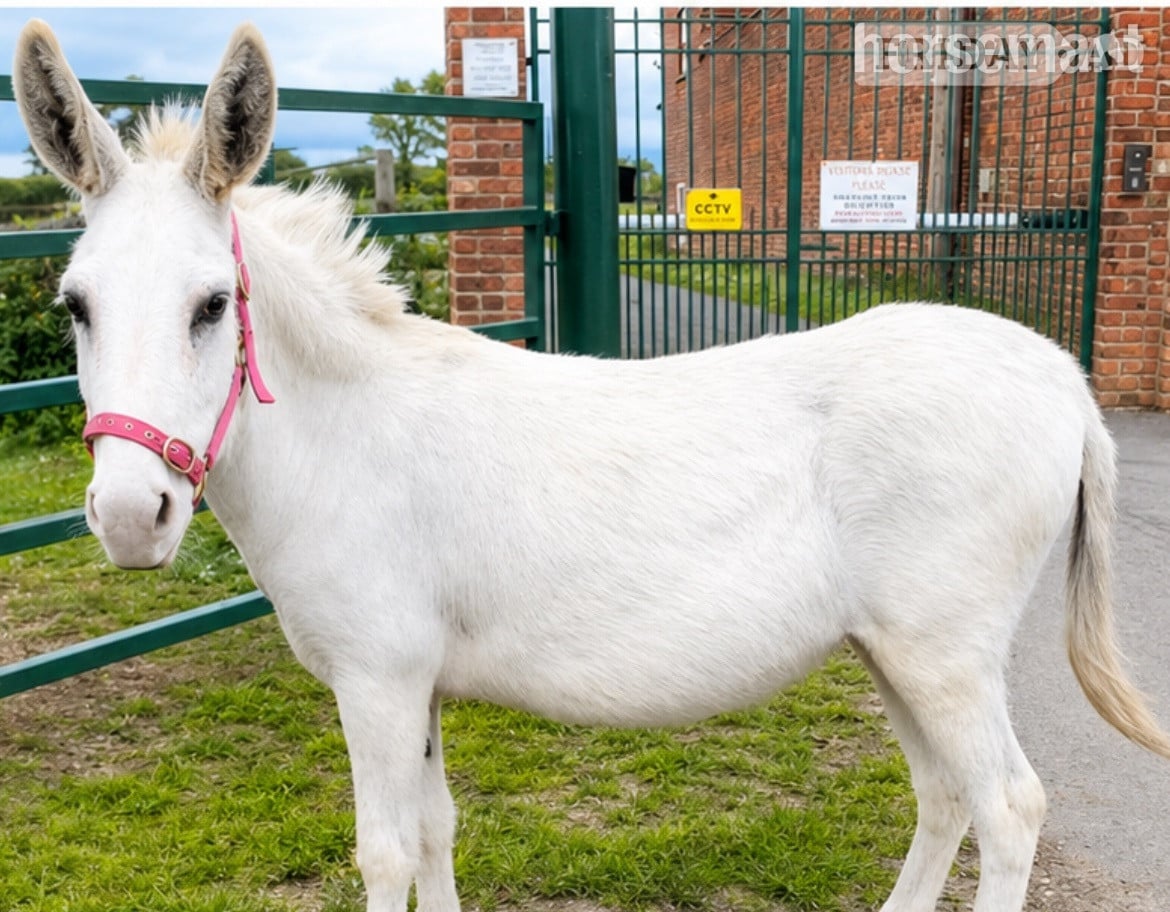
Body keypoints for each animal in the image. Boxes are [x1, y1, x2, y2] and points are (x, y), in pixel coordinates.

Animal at [13, 20, 1170, 912]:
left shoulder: (377, 680)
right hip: (895, 651)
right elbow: (437, 831)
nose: (131, 518)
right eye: (75, 306)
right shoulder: (418, 684)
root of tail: (1063, 378)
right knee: (943, 795)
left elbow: (385, 852)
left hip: (947, 652)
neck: (349, 438)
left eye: (213, 305)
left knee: (1008, 808)